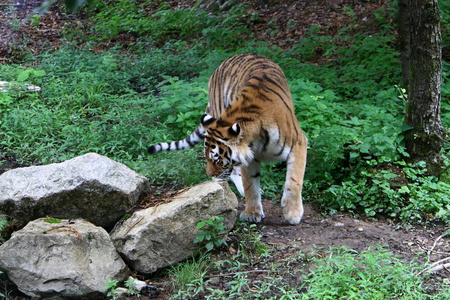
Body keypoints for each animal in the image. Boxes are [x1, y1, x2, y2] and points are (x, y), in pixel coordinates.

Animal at [149, 52, 308, 224]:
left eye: (217, 159)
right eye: (207, 158)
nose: (210, 175)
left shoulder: (298, 142)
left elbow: (294, 180)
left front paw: (292, 213)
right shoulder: (249, 157)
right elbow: (250, 184)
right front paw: (252, 213)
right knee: (234, 173)